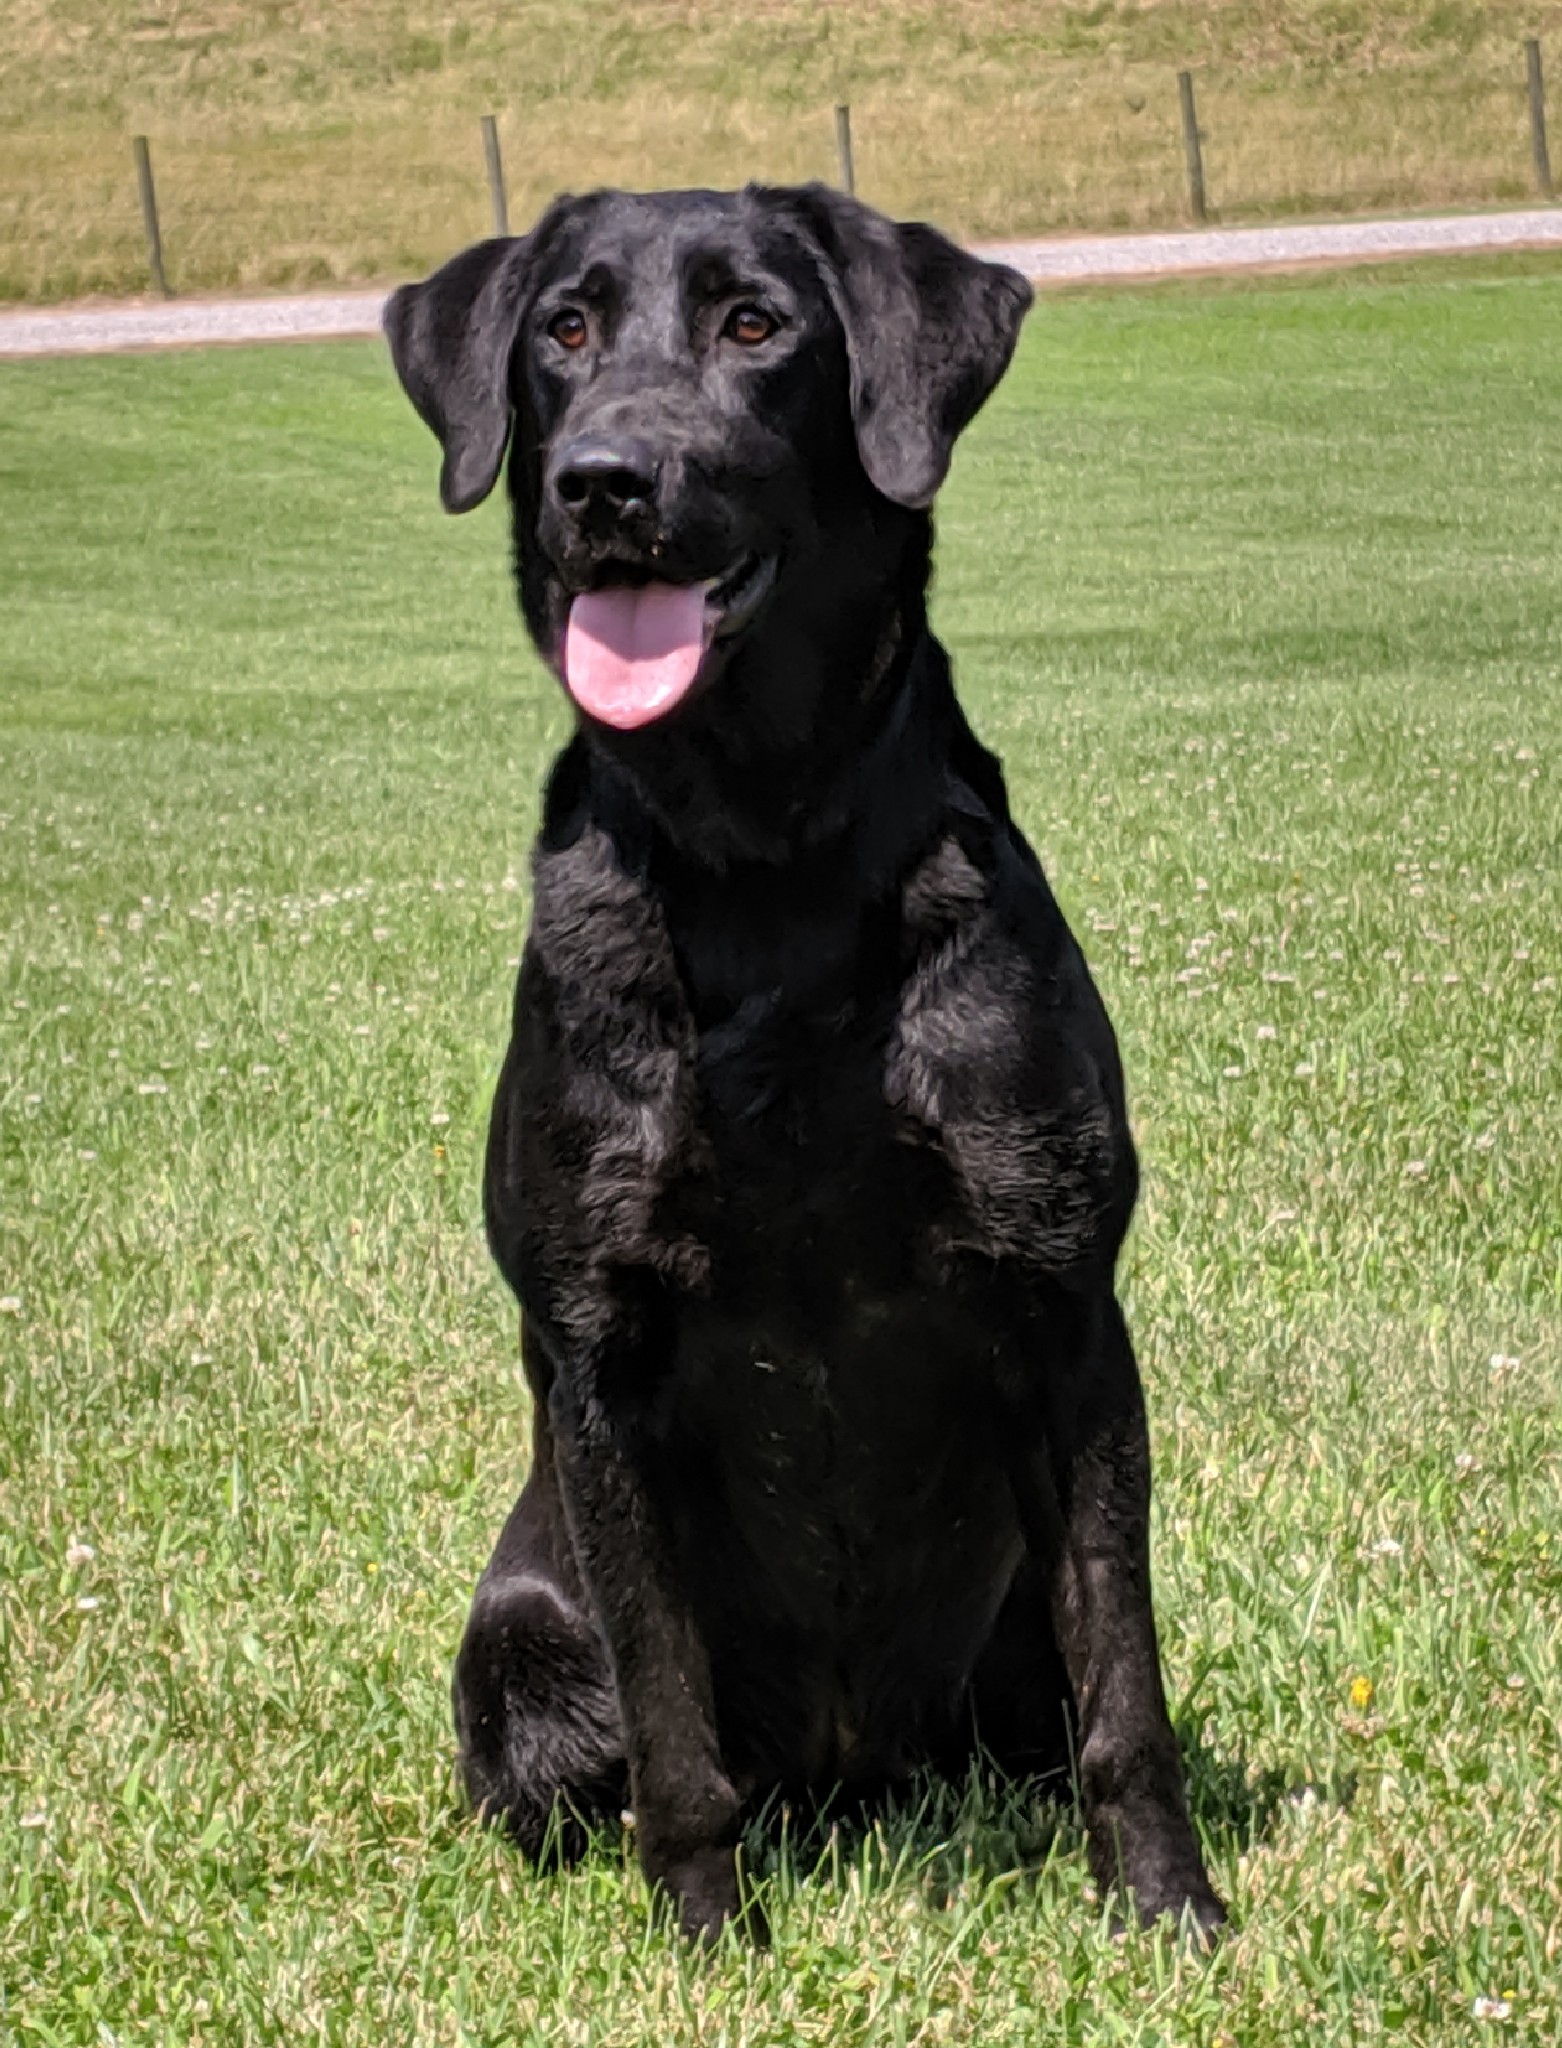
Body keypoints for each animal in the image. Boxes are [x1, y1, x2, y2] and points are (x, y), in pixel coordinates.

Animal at [388, 184, 1220, 1941]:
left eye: (755, 323)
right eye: (564, 328)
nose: (601, 481)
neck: (766, 856)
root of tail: (849, 1783)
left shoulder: (1062, 1306)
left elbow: (1126, 1689)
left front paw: (1170, 1912)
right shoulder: (602, 1348)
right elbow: (671, 1727)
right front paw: (705, 1943)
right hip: (519, 1636)